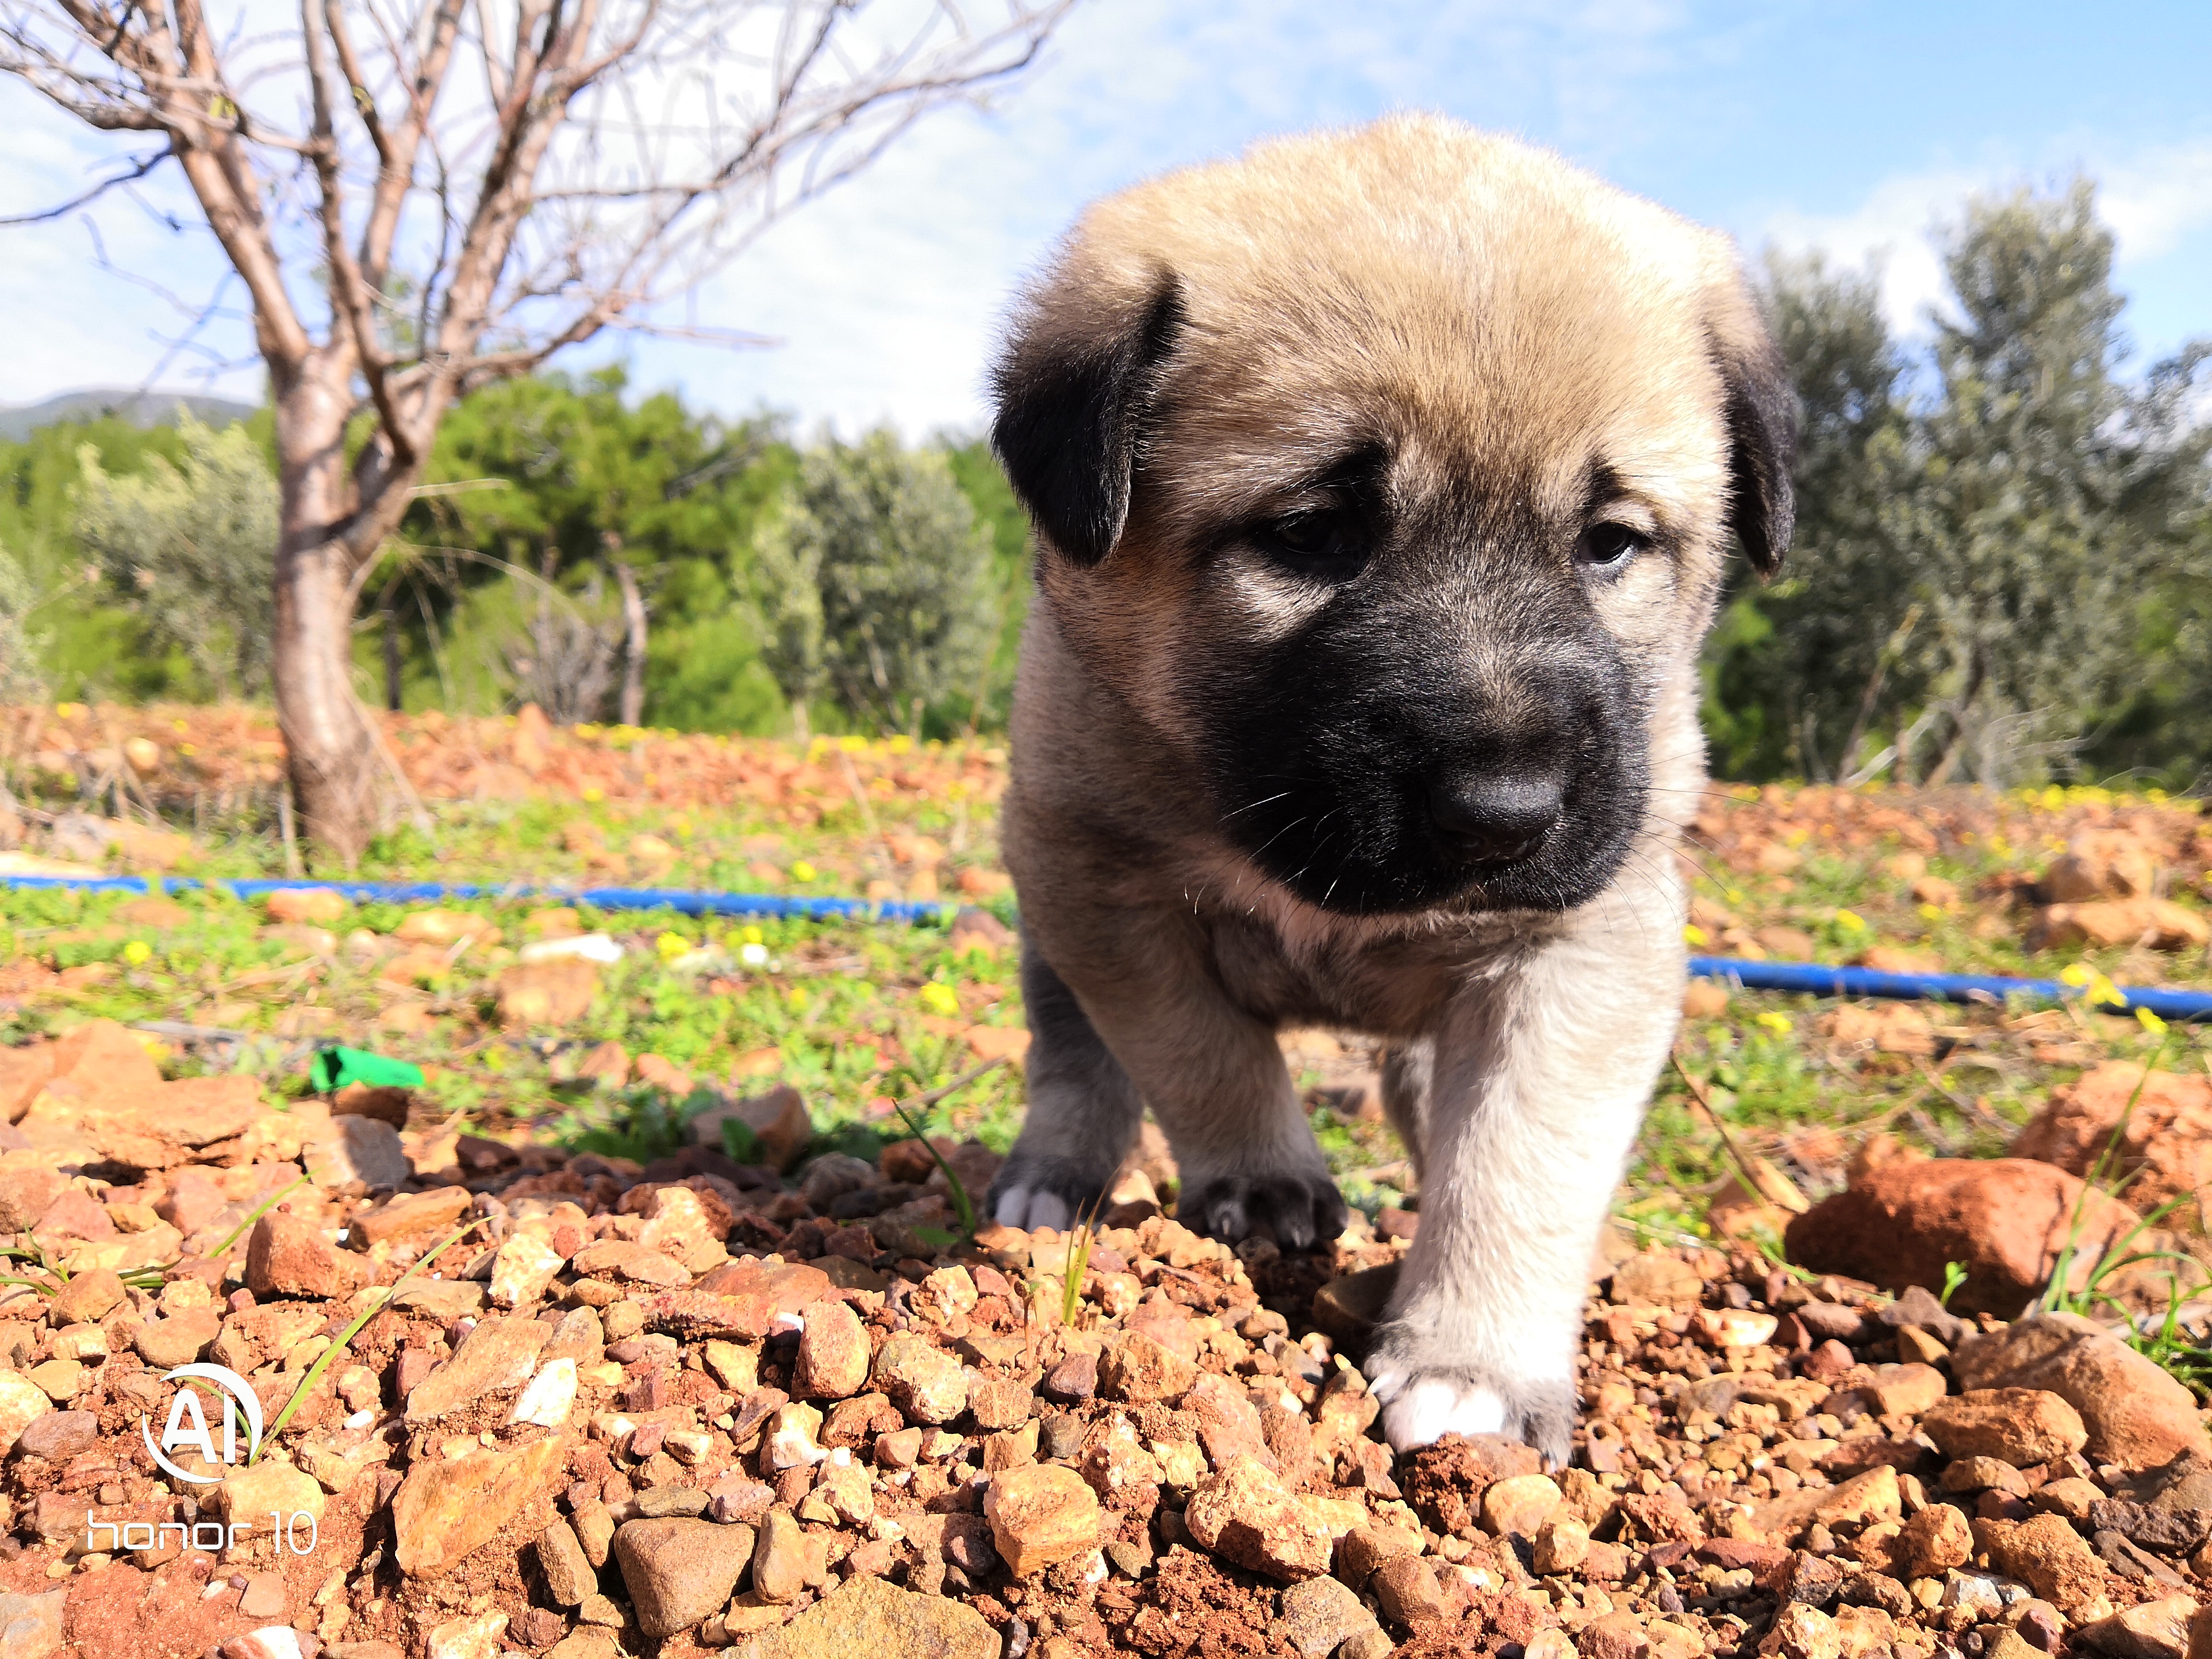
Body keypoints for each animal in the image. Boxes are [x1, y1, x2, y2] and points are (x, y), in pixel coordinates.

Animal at [981, 115, 1794, 1459]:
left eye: (1610, 541)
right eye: (1312, 531)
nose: (1507, 814)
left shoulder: (1585, 945)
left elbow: (1519, 1160)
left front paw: (1474, 1364)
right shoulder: (1097, 880)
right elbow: (1192, 1045)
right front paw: (1264, 1179)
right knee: (1076, 1060)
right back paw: (1056, 1176)